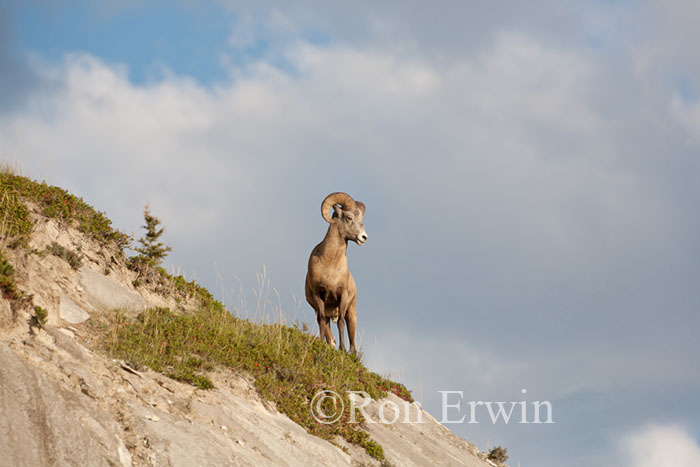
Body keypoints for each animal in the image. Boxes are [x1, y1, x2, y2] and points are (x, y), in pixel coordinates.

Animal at [305, 192, 367, 354]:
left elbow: (340, 323)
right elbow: (322, 320)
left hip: (351, 313)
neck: (330, 265)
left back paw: (351, 353)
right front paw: (321, 343)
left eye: (361, 220)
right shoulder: (318, 296)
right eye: (349, 218)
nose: (364, 237)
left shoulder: (342, 295)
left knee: (352, 337)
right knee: (326, 326)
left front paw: (342, 348)